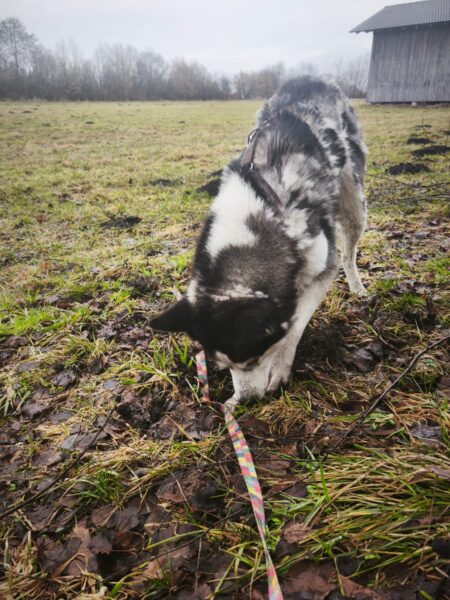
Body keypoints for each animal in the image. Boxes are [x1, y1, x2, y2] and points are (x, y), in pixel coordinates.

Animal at [150, 76, 367, 410]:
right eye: (223, 366)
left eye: (255, 359)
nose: (248, 400)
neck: (267, 208)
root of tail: (311, 79)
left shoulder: (321, 268)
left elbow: (294, 326)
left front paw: (280, 368)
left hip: (353, 199)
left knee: (349, 251)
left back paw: (357, 286)